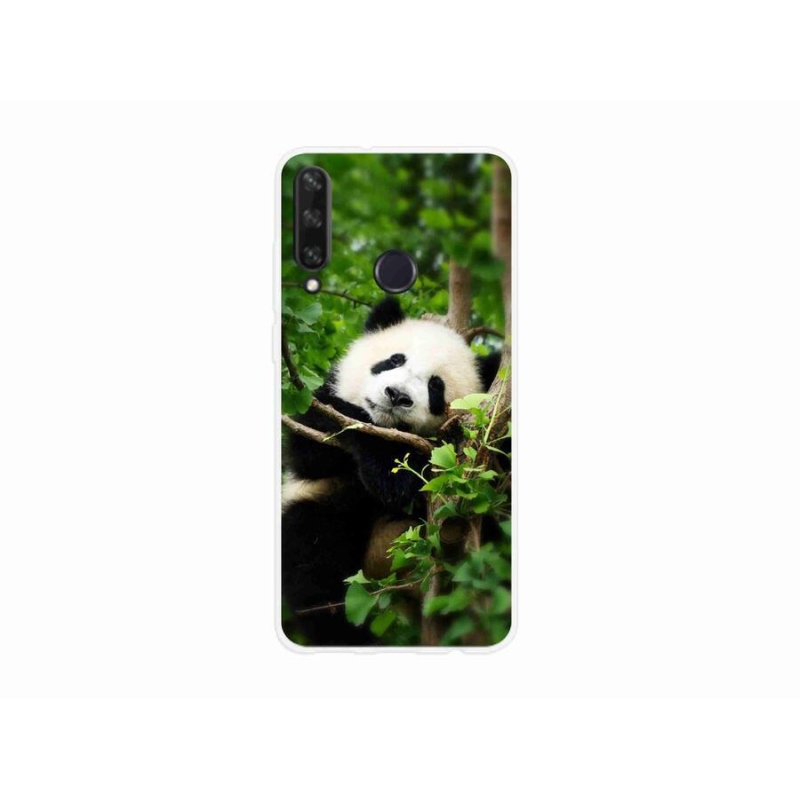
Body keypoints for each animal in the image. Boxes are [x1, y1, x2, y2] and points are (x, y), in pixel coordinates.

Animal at [281, 297, 500, 646]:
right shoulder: (315, 420)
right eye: (393, 360)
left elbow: (414, 481)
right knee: (315, 566)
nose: (397, 395)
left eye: (436, 386)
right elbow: (312, 450)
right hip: (323, 512)